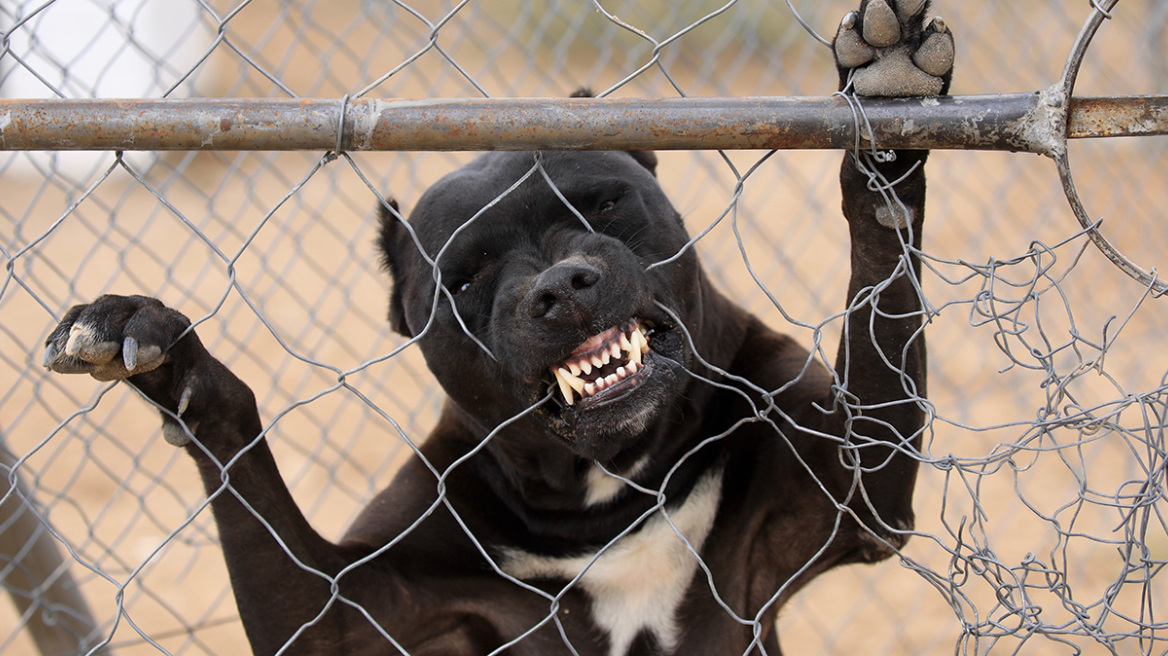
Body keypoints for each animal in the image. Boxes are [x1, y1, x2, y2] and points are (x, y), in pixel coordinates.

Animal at [45, 2, 953, 648]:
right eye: (465, 278)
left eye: (604, 202)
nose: (559, 286)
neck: (611, 494)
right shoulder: (340, 613)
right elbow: (240, 444)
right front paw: (163, 356)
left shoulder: (857, 492)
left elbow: (882, 254)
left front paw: (888, 120)